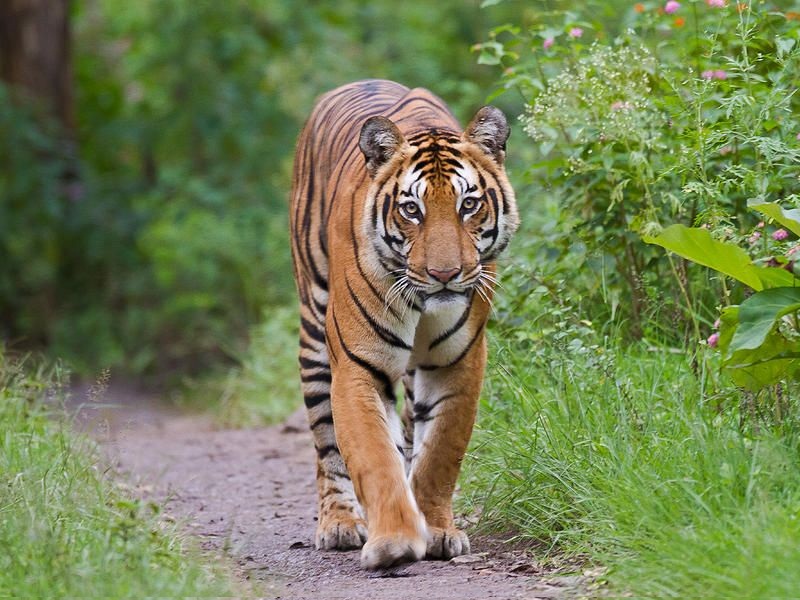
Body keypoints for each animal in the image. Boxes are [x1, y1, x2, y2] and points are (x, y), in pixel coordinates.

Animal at [290, 78, 520, 568]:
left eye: (468, 205)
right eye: (412, 210)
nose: (445, 274)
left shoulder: (457, 365)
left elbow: (439, 455)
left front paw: (436, 530)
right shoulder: (357, 367)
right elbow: (374, 456)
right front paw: (394, 541)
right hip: (314, 335)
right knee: (326, 441)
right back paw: (339, 523)